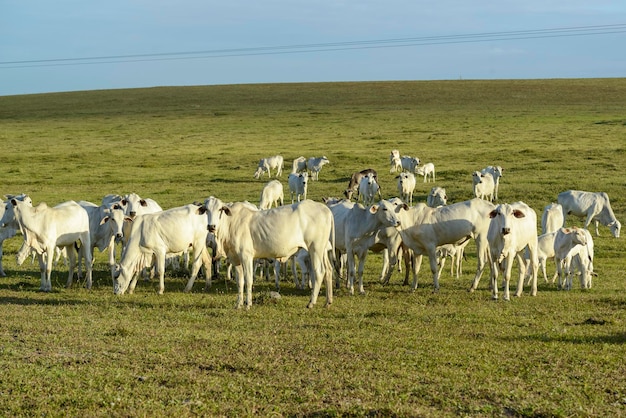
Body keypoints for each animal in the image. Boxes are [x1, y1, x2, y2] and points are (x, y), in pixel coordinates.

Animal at [202, 198, 334, 308]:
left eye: (220, 209)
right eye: (206, 210)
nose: (211, 226)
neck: (231, 223)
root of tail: (326, 209)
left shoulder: (246, 256)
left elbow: (248, 280)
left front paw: (248, 305)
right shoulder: (236, 259)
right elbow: (240, 282)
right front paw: (238, 305)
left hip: (315, 248)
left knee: (319, 272)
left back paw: (311, 302)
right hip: (322, 250)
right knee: (328, 270)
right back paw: (328, 302)